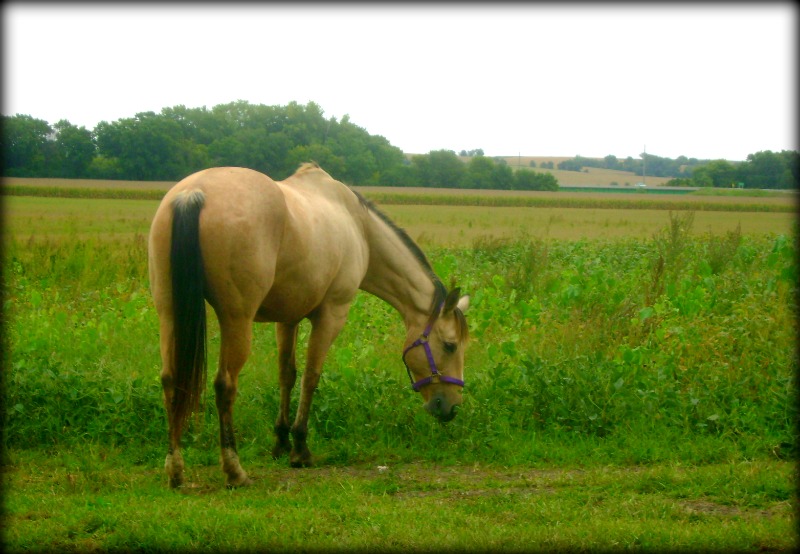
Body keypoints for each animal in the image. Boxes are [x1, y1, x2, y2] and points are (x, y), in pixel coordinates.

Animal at [148, 162, 468, 486]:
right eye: (450, 346)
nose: (451, 406)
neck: (359, 227)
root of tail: (193, 194)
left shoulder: (288, 319)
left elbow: (286, 376)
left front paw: (280, 441)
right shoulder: (331, 315)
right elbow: (311, 377)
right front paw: (300, 448)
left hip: (169, 312)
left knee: (170, 379)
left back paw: (175, 469)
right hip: (236, 320)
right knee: (225, 385)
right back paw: (234, 470)